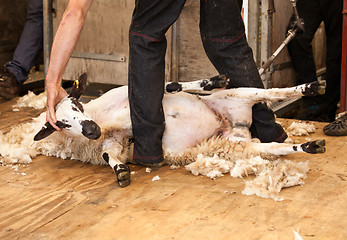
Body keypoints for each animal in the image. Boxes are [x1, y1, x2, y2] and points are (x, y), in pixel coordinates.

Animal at [1, 72, 326, 190]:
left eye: (76, 104)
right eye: (61, 124)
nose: (91, 130)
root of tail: (232, 125)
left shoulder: (135, 99)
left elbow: (166, 87)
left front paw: (206, 82)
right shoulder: (113, 141)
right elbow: (110, 155)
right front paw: (121, 172)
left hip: (238, 96)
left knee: (271, 92)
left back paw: (310, 87)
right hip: (233, 145)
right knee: (273, 147)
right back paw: (310, 146)